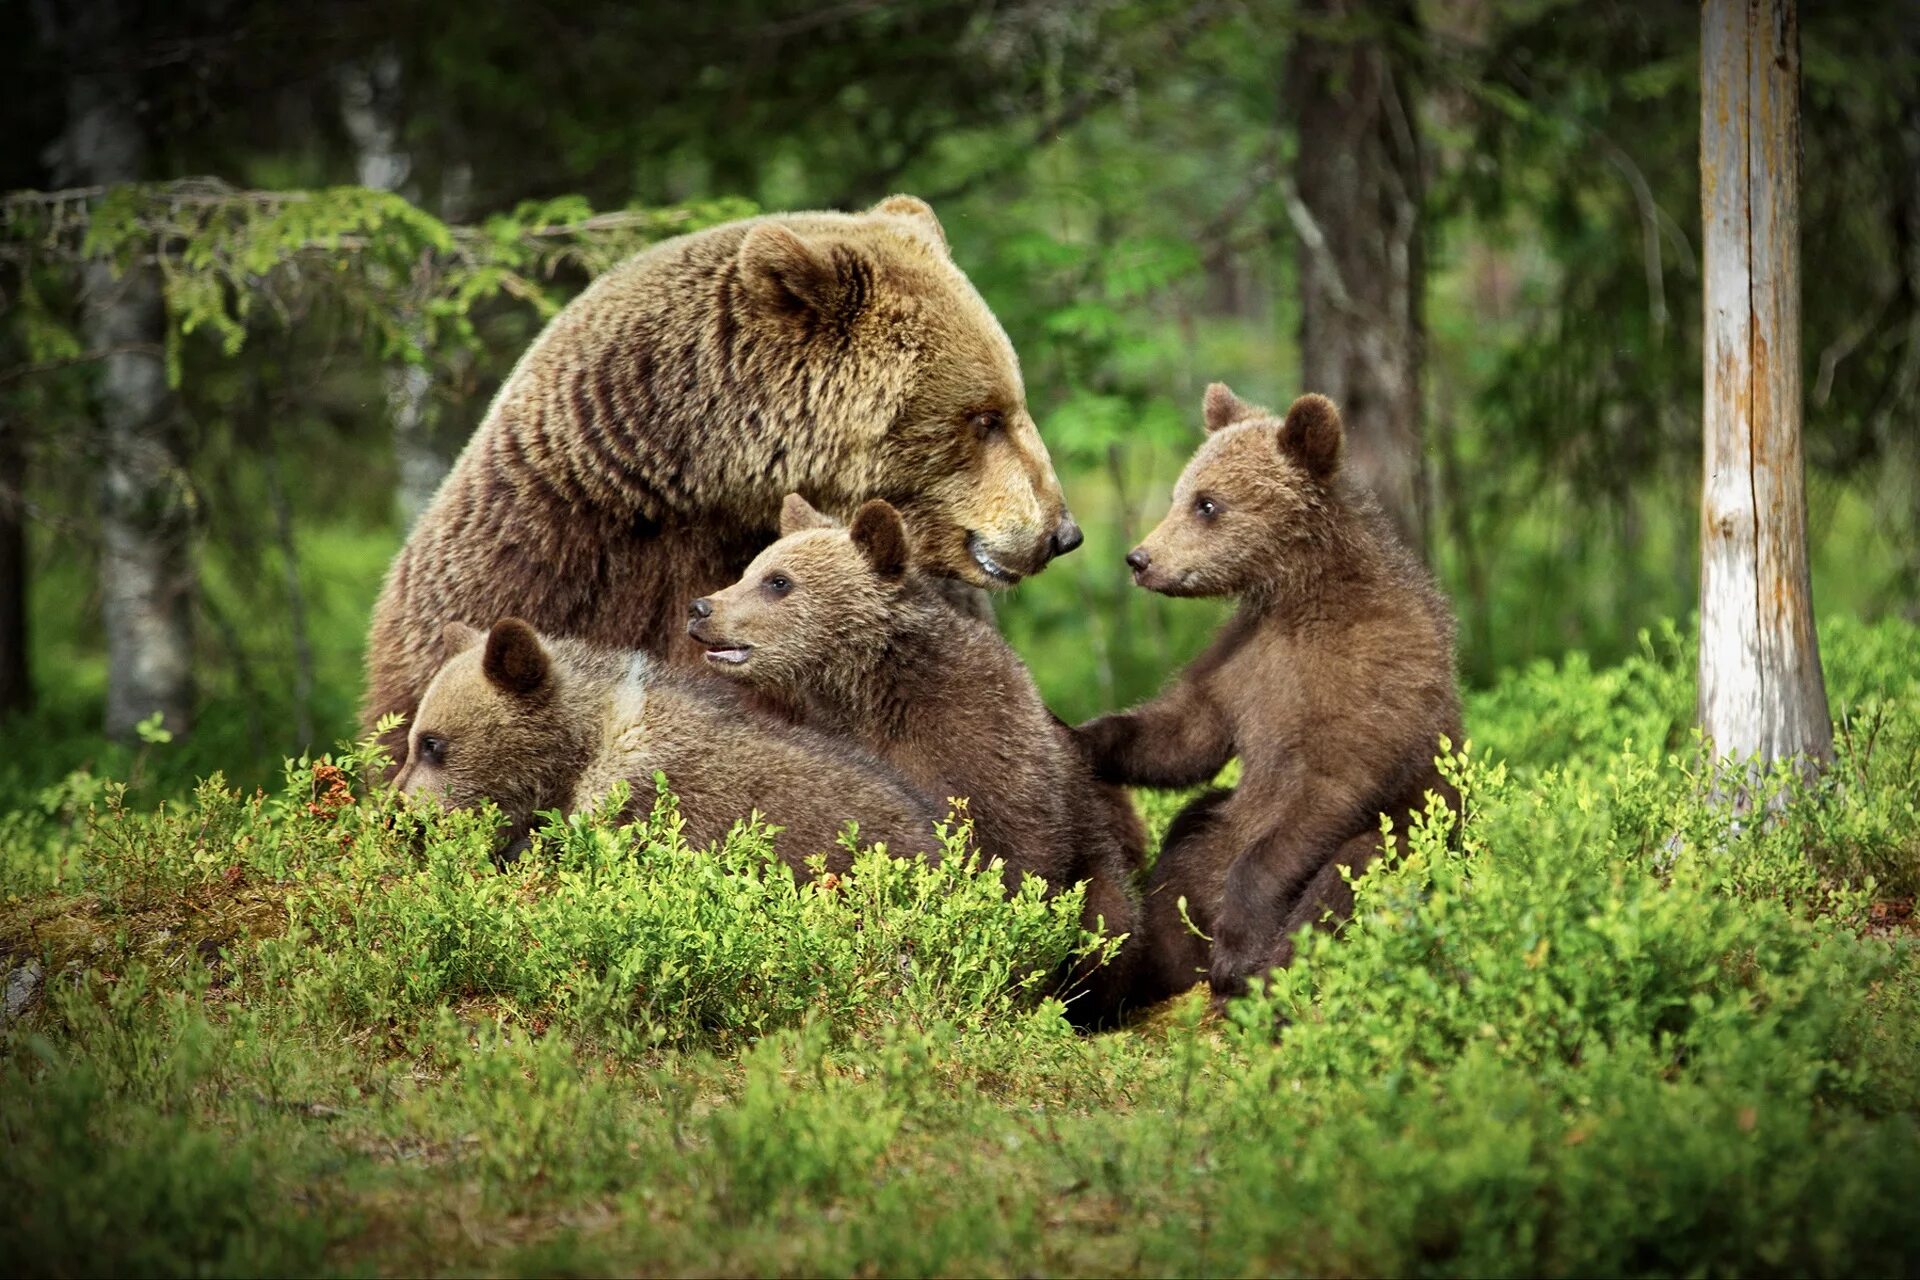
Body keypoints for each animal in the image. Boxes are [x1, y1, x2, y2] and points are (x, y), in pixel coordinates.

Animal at [687, 495, 1136, 1028]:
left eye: (779, 581)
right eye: (750, 570)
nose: (701, 608)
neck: (867, 690)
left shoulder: (980, 743)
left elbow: (1017, 862)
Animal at [1075, 385, 1459, 1005]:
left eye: (1208, 504)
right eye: (1181, 493)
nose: (1139, 559)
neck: (1298, 598)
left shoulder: (1374, 672)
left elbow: (1329, 787)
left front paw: (1240, 952)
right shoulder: (1245, 661)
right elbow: (1186, 734)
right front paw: (1074, 735)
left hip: (1414, 837)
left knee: (1351, 873)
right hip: (1214, 833)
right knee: (1189, 838)